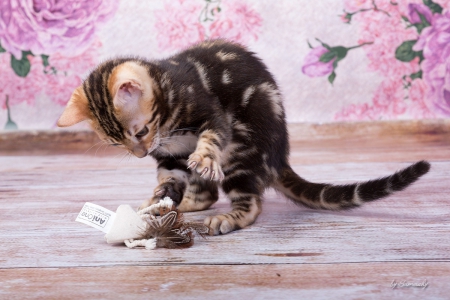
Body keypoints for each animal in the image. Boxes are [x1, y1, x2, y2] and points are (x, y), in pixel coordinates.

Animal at [58, 39, 430, 234]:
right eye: (116, 143)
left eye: (141, 131)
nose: (139, 153)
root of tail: (279, 155)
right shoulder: (170, 156)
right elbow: (169, 177)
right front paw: (160, 197)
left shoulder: (210, 113)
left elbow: (211, 137)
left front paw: (204, 154)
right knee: (206, 193)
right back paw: (190, 201)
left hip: (242, 150)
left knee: (250, 201)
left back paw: (229, 217)